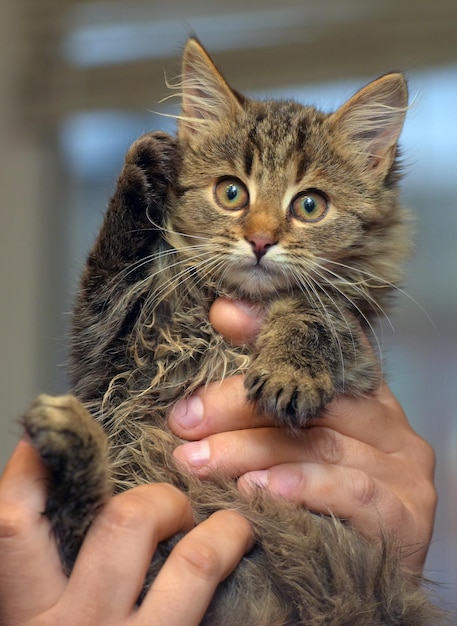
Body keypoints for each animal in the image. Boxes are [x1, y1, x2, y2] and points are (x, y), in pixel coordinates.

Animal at [22, 39, 442, 624]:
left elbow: (316, 313)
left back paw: (67, 439)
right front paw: (141, 169)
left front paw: (289, 373)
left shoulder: (354, 338)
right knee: (87, 534)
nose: (261, 240)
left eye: (309, 205)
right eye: (230, 193)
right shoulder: (102, 355)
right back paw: (68, 439)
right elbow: (106, 271)